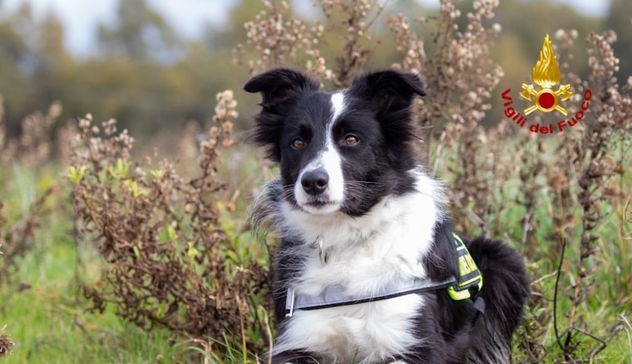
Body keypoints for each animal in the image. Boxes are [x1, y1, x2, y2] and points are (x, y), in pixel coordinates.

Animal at [244, 67, 532, 362]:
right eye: (297, 142)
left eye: (351, 139)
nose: (313, 182)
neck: (345, 236)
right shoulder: (299, 339)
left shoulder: (414, 341)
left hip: (503, 259)